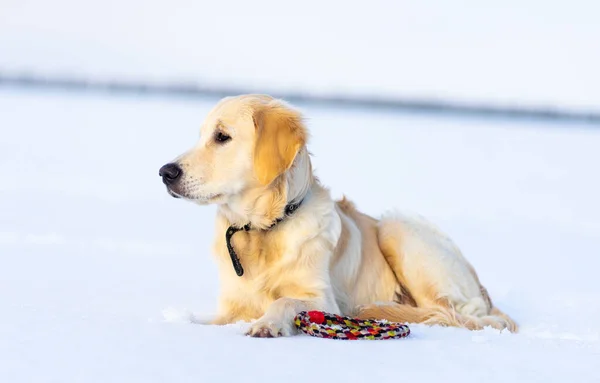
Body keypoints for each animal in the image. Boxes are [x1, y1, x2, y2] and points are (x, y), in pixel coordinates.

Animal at [161, 94, 520, 338]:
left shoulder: (322, 299)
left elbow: (284, 301)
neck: (261, 229)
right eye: (200, 135)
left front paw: (267, 323)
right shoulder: (231, 306)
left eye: (222, 136)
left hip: (397, 227)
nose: (165, 172)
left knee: (449, 313)